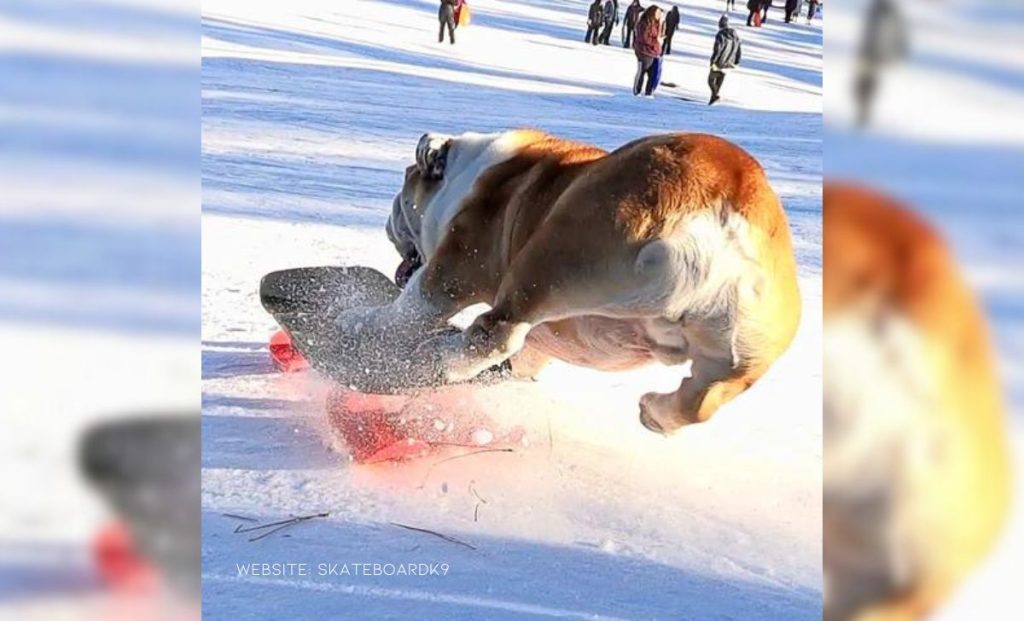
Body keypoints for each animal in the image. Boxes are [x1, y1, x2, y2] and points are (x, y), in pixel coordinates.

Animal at [368, 129, 798, 436]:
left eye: (404, 184)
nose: (388, 221)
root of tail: (715, 222)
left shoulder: (454, 266)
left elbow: (414, 306)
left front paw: (372, 323)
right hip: (749, 348)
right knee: (701, 400)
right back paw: (655, 411)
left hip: (551, 263)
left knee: (497, 332)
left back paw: (442, 357)